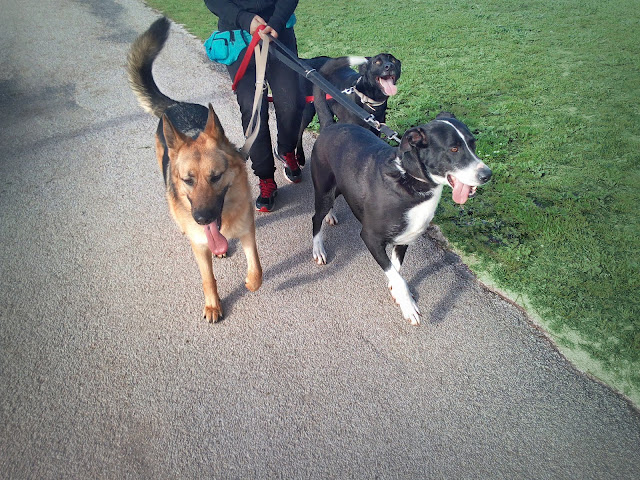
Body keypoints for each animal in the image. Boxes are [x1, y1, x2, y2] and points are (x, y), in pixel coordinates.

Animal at [127, 16, 262, 322]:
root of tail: (177, 105)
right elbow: (207, 278)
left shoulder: (247, 230)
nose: (201, 218)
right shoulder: (200, 245)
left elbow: (257, 268)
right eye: (188, 180)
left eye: (216, 177)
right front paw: (213, 305)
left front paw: (251, 281)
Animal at [312, 111, 492, 326]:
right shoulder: (371, 238)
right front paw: (408, 306)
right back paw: (318, 248)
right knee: (315, 219)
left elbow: (396, 269)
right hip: (323, 192)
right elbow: (399, 278)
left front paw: (396, 292)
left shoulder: (405, 238)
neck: (411, 180)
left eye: (473, 144)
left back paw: (330, 215)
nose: (487, 174)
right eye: (454, 149)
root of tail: (330, 126)